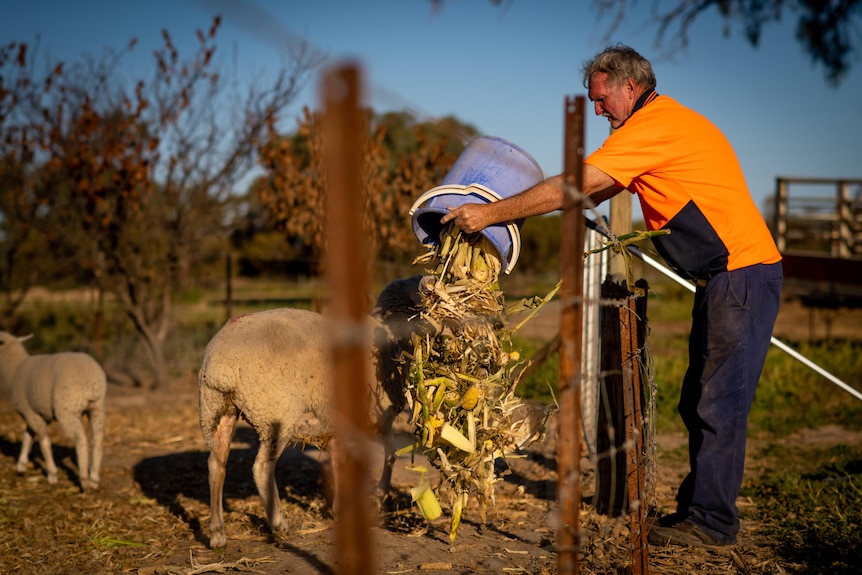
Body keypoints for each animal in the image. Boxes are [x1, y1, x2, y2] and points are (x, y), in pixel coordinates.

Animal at [0, 332, 107, 490]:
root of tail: (91, 384)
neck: (14, 370)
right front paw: (21, 466)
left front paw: (52, 474)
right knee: (97, 440)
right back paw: (94, 479)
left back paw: (84, 481)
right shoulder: (38, 413)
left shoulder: (29, 411)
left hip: (67, 410)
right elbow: (27, 436)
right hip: (97, 408)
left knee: (81, 440)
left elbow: (44, 442)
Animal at [200, 276, 436, 552]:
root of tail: (221, 365)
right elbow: (389, 455)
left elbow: (339, 459)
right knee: (261, 468)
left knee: (216, 466)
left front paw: (340, 507)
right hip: (276, 414)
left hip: (215, 411)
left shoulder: (336, 419)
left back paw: (217, 534)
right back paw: (279, 524)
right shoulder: (378, 417)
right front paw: (379, 496)